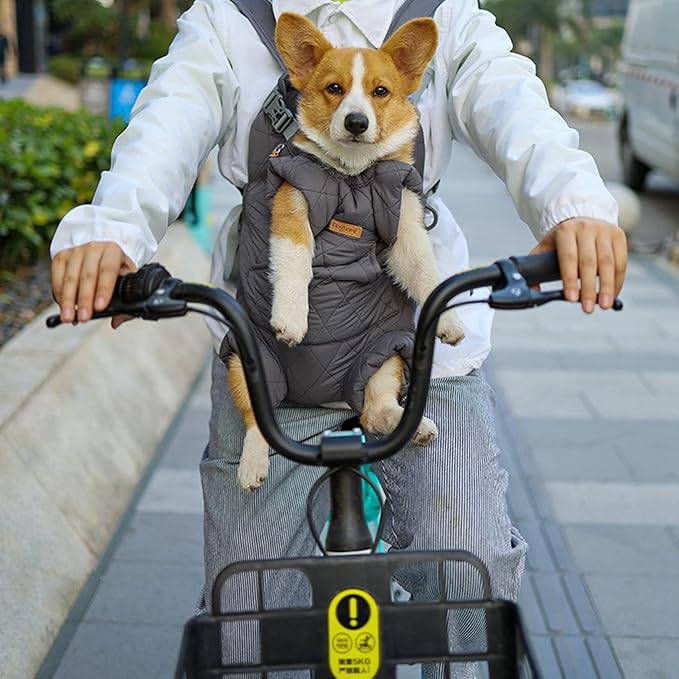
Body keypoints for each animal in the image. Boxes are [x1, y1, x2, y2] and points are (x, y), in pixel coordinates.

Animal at [226, 10, 464, 488]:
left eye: (380, 91)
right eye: (334, 88)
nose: (356, 122)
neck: (352, 177)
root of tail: (326, 400)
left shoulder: (405, 225)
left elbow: (425, 272)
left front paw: (448, 321)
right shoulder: (293, 207)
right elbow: (297, 262)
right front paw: (292, 319)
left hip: (385, 356)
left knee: (374, 411)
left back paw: (412, 425)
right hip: (247, 363)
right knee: (257, 421)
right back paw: (253, 463)